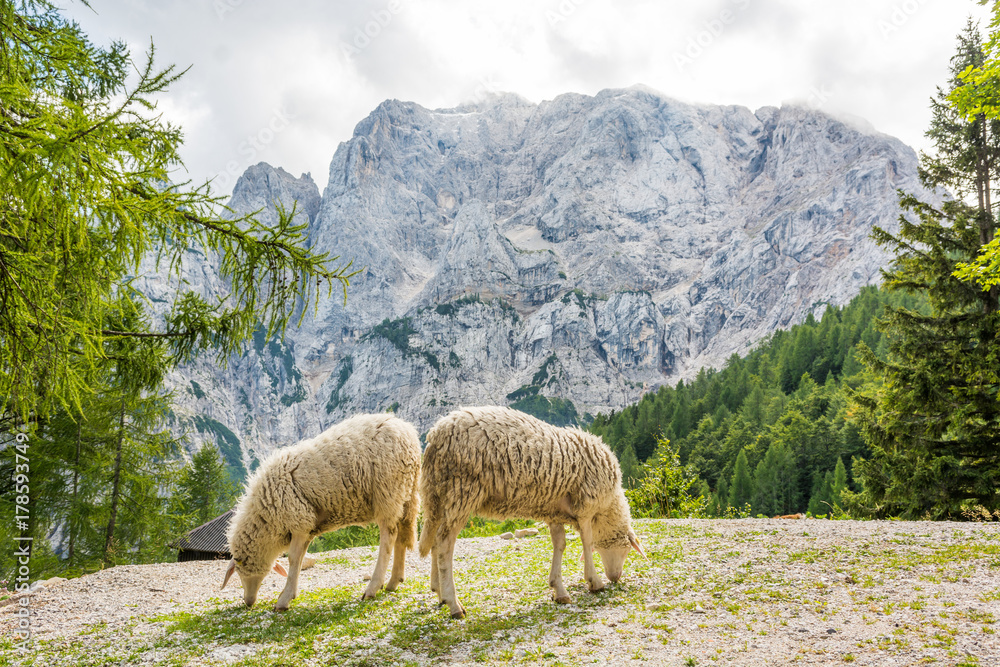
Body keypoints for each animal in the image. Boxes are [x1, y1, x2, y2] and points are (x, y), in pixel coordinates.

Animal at [221, 413, 421, 610]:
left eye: (239, 570)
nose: (248, 602)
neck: (266, 520)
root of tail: (409, 433)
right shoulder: (308, 527)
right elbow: (300, 559)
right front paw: (290, 594)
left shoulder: (299, 520)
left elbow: (293, 559)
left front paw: (283, 600)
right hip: (406, 493)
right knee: (402, 534)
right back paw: (394, 582)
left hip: (387, 491)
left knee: (389, 537)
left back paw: (373, 587)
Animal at [419, 406, 645, 618]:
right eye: (627, 549)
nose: (616, 578)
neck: (606, 510)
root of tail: (435, 435)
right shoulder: (586, 508)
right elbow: (587, 542)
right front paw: (595, 581)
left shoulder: (555, 513)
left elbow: (560, 545)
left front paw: (559, 590)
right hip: (462, 489)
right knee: (444, 544)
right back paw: (453, 604)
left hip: (439, 495)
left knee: (434, 541)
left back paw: (439, 593)